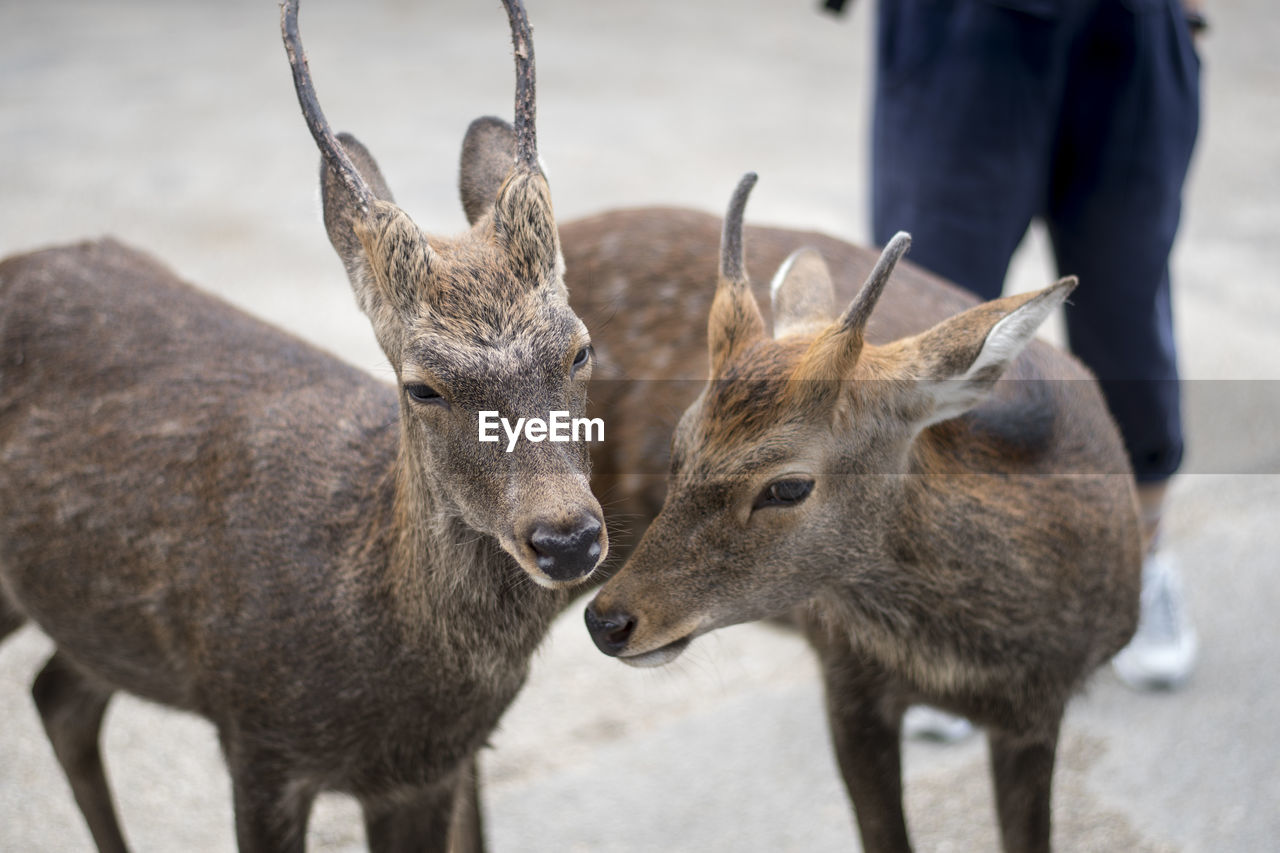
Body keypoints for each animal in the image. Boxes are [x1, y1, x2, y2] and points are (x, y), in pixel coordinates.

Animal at [0, 1, 604, 850]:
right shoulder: (257, 737)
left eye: (580, 347)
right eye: (421, 386)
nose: (566, 537)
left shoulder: (429, 772)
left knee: (59, 693)